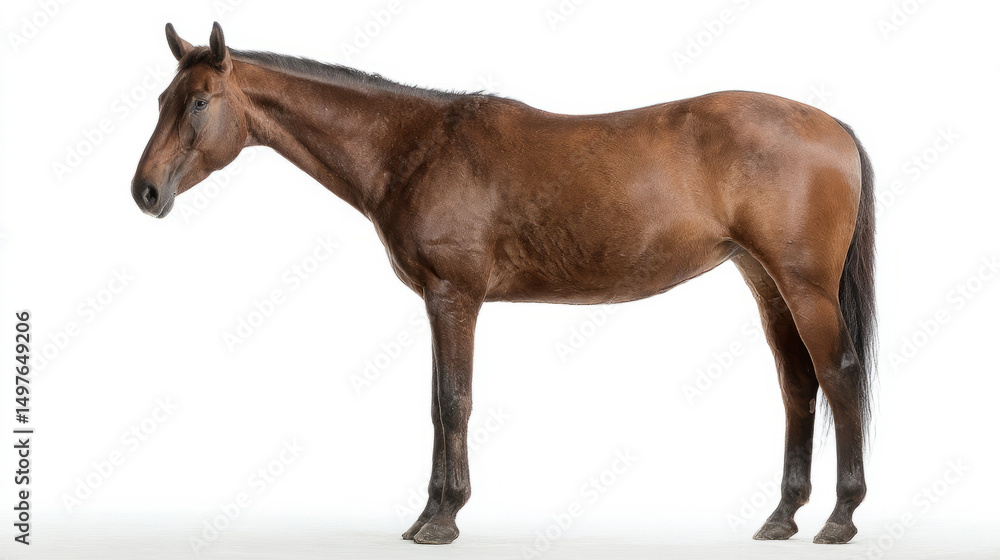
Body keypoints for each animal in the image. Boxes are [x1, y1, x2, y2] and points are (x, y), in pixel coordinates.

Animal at [132, 22, 876, 545]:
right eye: (163, 99)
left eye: (199, 103)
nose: (145, 192)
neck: (415, 149)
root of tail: (833, 125)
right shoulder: (441, 301)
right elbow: (437, 404)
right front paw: (429, 512)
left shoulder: (454, 296)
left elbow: (454, 401)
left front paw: (443, 518)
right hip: (765, 281)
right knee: (797, 386)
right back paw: (782, 516)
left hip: (804, 286)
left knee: (838, 374)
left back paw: (840, 517)